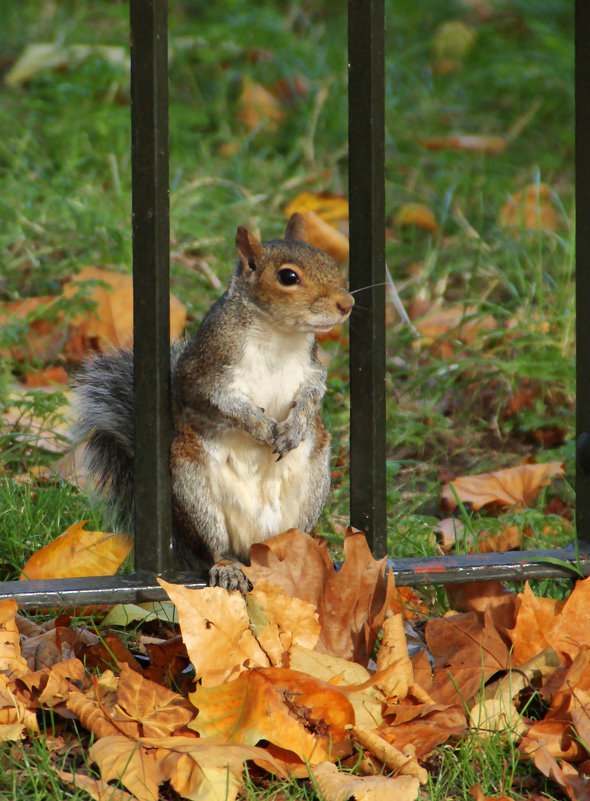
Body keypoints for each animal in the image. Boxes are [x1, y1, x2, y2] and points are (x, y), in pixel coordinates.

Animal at [71, 216, 354, 592]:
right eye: (288, 277)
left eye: (330, 261)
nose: (347, 304)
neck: (279, 334)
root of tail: (254, 548)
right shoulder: (206, 369)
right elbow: (220, 403)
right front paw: (261, 428)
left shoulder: (312, 367)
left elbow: (313, 392)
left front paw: (296, 425)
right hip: (195, 491)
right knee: (217, 545)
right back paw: (228, 567)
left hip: (314, 483)